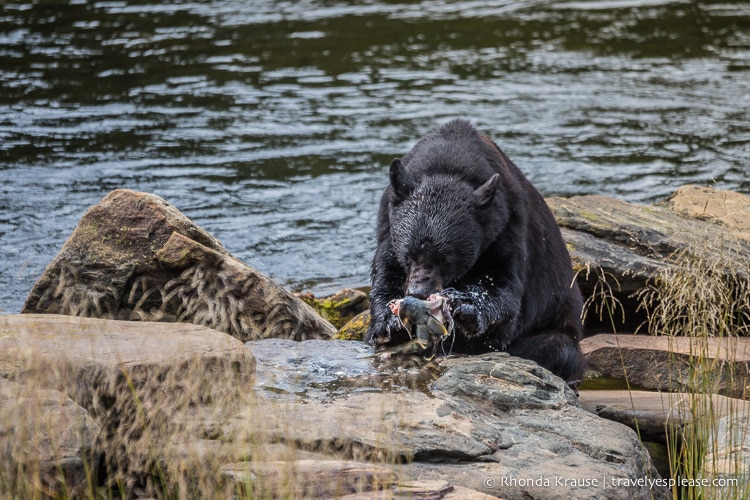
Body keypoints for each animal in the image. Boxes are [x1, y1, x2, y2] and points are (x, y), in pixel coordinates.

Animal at [368, 119, 592, 384]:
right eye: (409, 254)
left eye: (446, 259)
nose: (419, 292)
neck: (449, 165)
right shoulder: (388, 225)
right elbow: (386, 273)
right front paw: (390, 322)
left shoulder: (506, 228)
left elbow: (502, 290)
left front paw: (463, 304)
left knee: (558, 349)